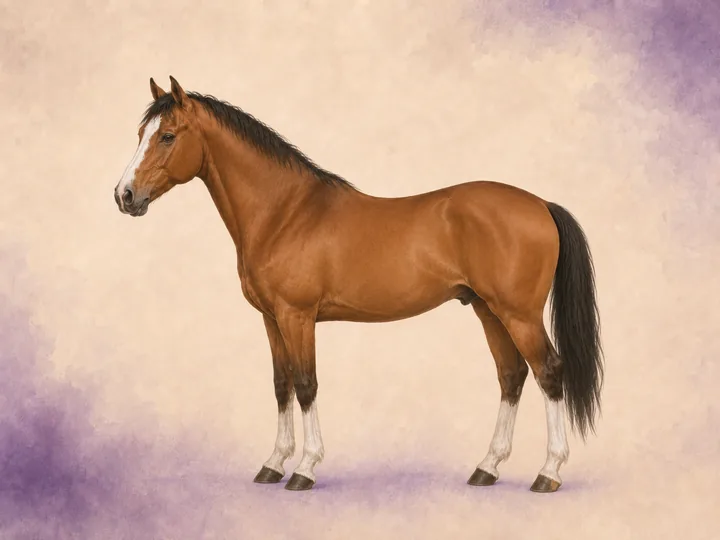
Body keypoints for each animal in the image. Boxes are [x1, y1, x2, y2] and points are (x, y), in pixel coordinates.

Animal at [113, 76, 603, 493]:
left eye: (167, 135)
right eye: (140, 133)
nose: (124, 196)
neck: (285, 213)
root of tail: (540, 204)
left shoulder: (297, 316)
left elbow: (306, 384)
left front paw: (305, 469)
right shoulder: (271, 319)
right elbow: (281, 384)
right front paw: (273, 464)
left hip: (518, 314)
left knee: (548, 372)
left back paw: (548, 473)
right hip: (488, 310)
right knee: (511, 376)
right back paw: (487, 468)